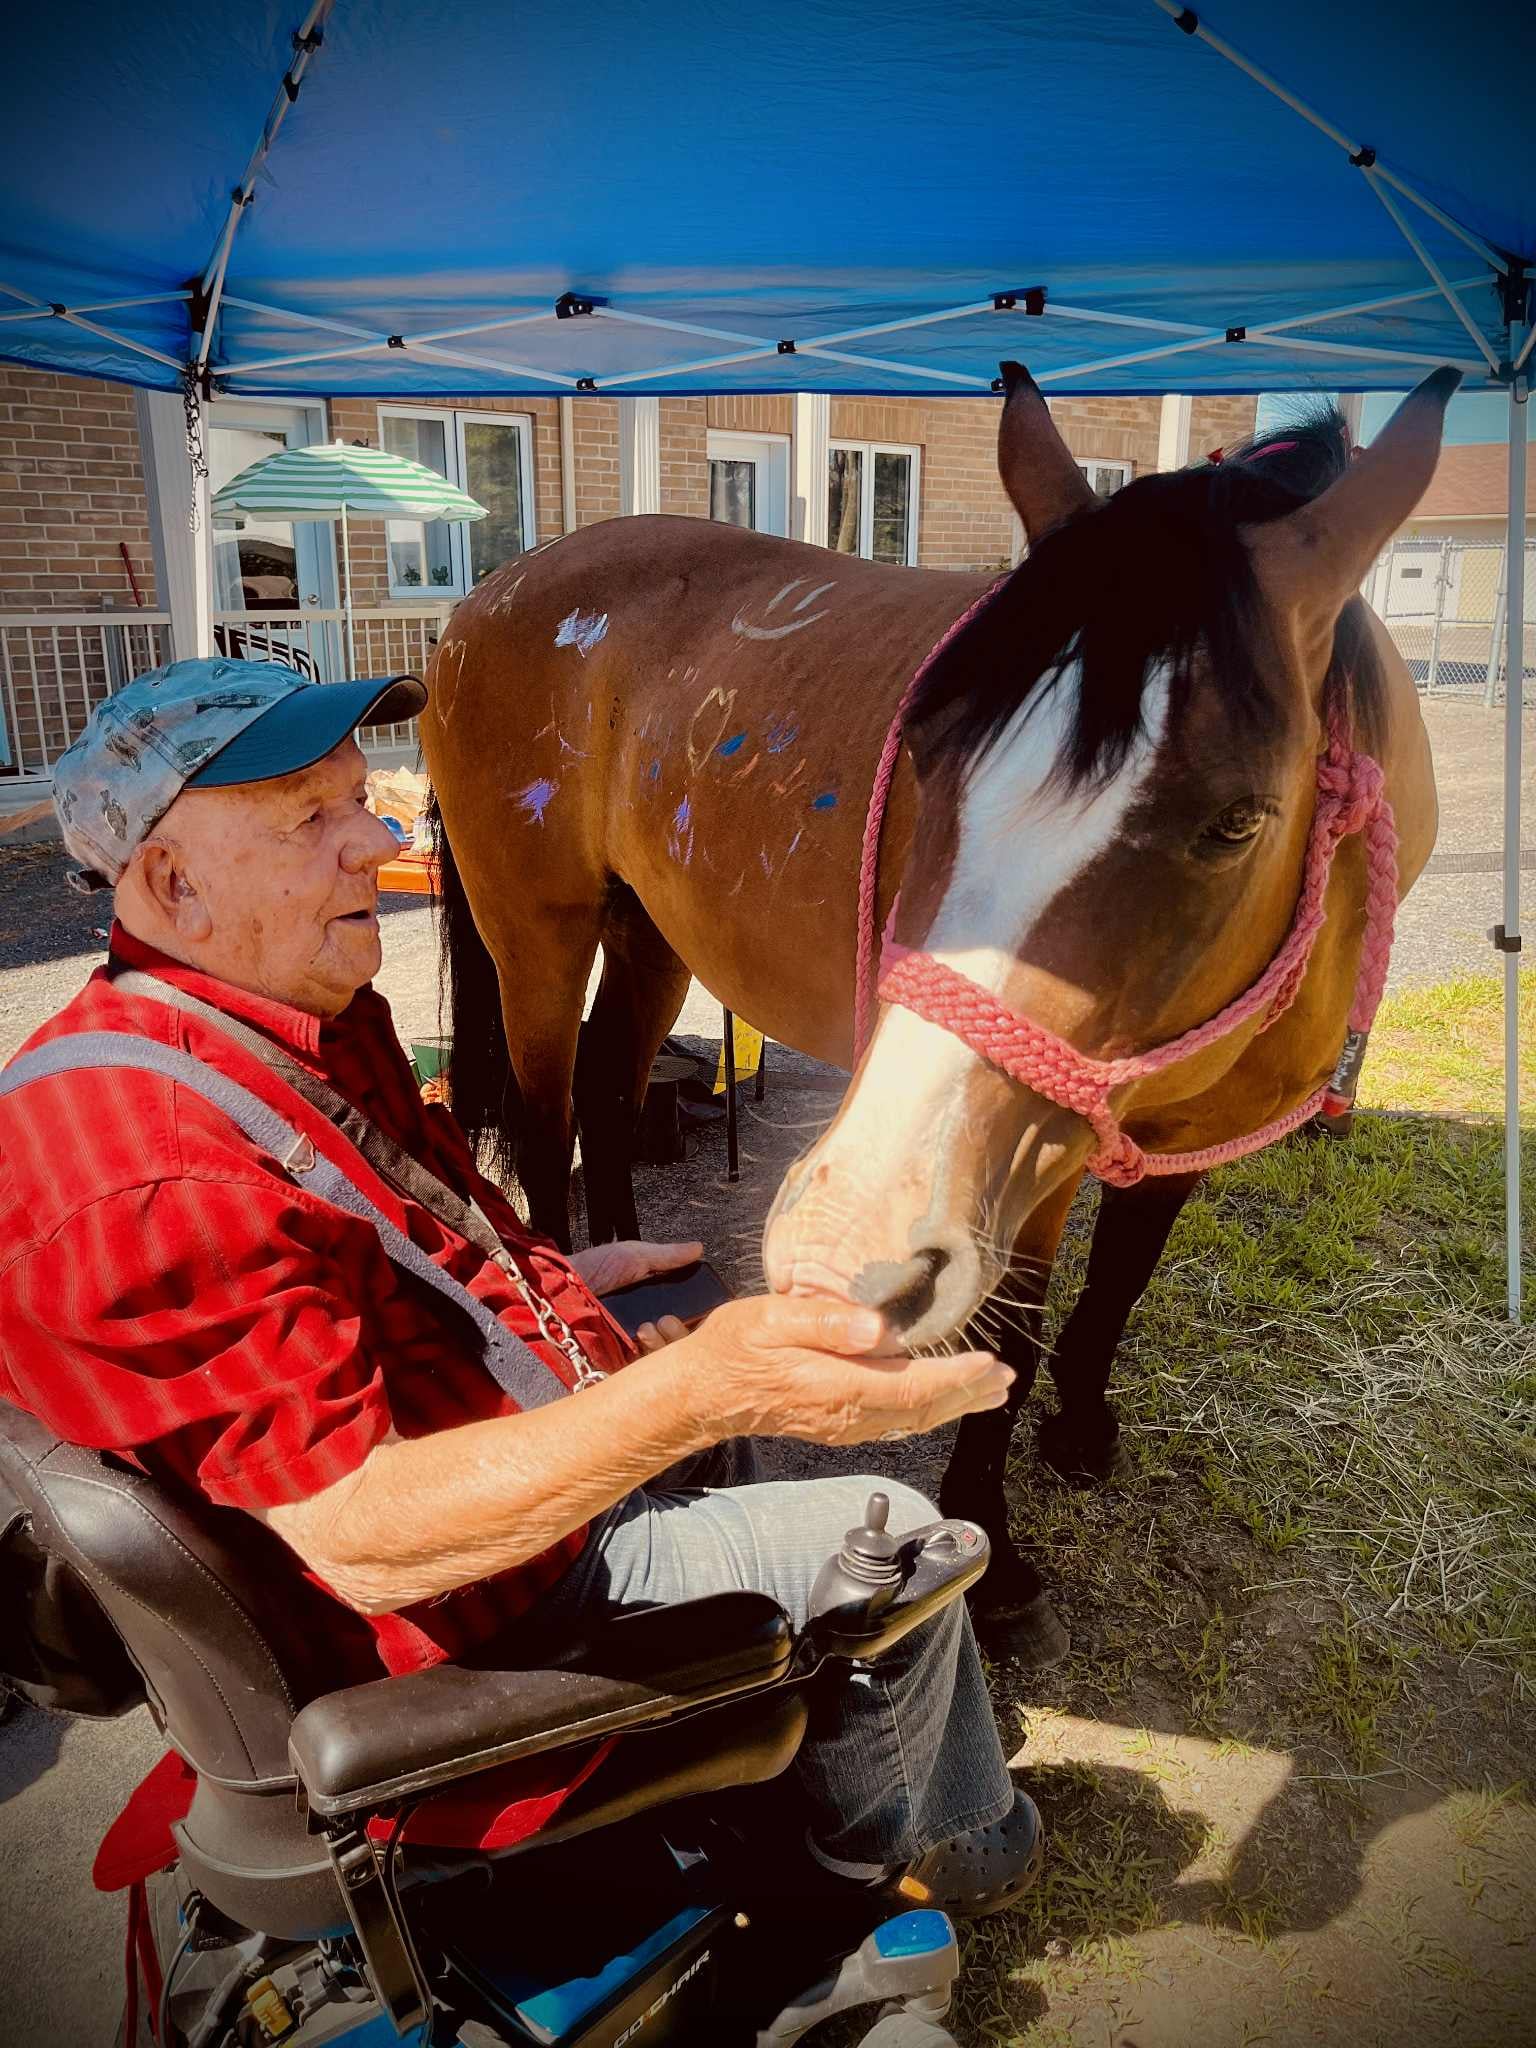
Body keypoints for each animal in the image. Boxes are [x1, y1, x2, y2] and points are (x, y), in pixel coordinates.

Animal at [421, 363, 1452, 1664]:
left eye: (1235, 820)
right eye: (927, 752)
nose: (842, 1244)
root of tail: (491, 596)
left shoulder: (1173, 1137)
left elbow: (1121, 1280)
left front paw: (1081, 1422)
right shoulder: (1032, 1161)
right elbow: (1010, 1331)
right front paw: (991, 1547)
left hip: (650, 930)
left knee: (610, 1091)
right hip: (540, 932)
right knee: (548, 1116)